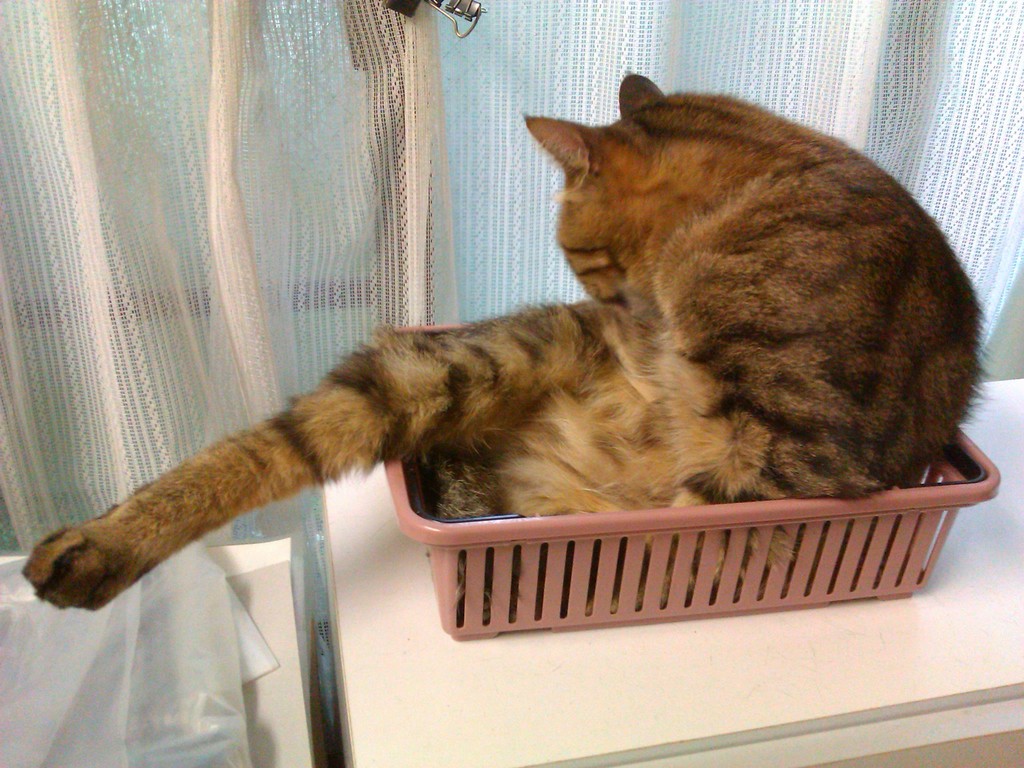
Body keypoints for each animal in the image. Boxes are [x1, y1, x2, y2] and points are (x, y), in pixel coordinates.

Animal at [24, 74, 979, 610]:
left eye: (579, 253)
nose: (622, 312)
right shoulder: (769, 461)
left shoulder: (790, 458)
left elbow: (681, 521)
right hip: (469, 360)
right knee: (273, 444)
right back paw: (90, 549)